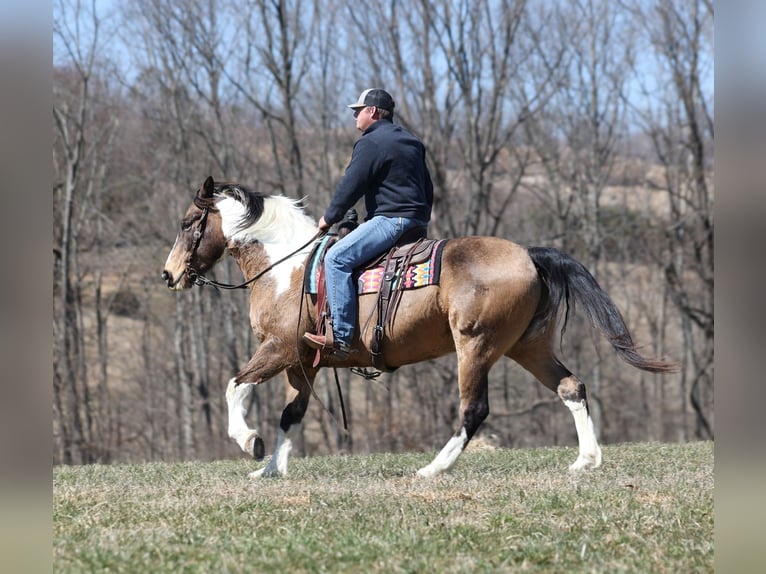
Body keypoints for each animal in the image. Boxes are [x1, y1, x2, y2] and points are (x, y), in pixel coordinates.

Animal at [162, 178, 680, 480]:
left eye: (188, 222)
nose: (169, 275)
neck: (287, 267)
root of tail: (530, 256)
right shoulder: (302, 365)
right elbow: (291, 415)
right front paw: (270, 469)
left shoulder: (279, 350)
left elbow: (235, 386)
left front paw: (250, 443)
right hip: (527, 347)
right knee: (572, 387)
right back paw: (585, 460)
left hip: (476, 346)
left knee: (475, 410)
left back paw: (433, 468)